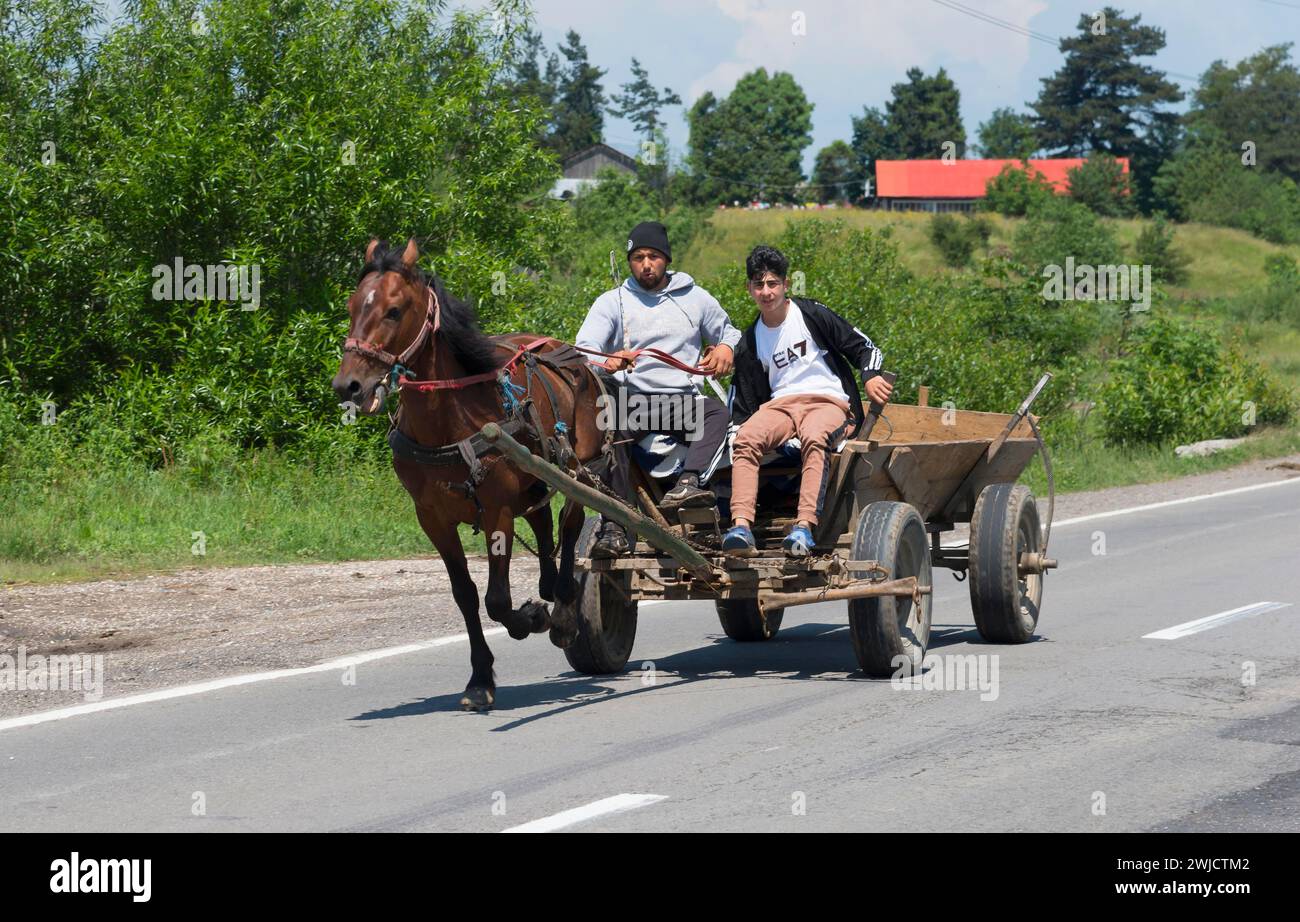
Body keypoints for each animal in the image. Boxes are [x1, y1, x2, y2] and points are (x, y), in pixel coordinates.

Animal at [330, 237, 603, 712]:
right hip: (535, 474)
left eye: (393, 310)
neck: (449, 420)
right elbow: (466, 595)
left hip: (577, 469)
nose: (349, 385)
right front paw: (479, 679)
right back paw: (549, 585)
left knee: (571, 525)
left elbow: (497, 600)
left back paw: (565, 609)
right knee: (542, 523)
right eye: (351, 306)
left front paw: (531, 617)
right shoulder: (432, 517)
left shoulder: (497, 511)